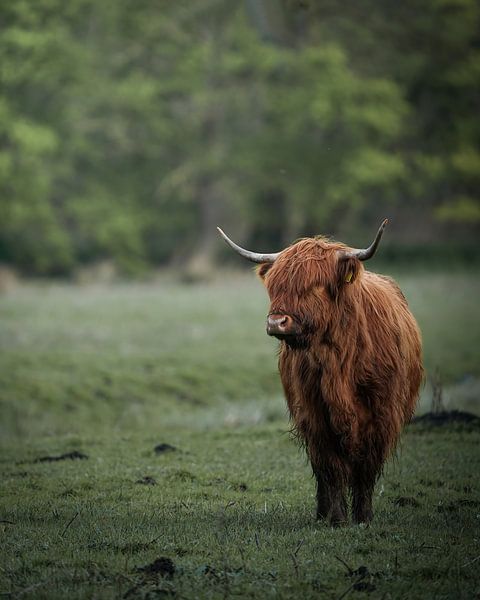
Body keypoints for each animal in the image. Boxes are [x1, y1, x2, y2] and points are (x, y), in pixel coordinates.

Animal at [218, 221, 424, 524]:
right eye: (275, 287)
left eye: (314, 285)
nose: (276, 322)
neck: (339, 362)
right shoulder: (315, 414)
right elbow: (331, 467)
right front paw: (336, 518)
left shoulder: (383, 414)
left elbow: (366, 469)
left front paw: (363, 517)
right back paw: (321, 513)